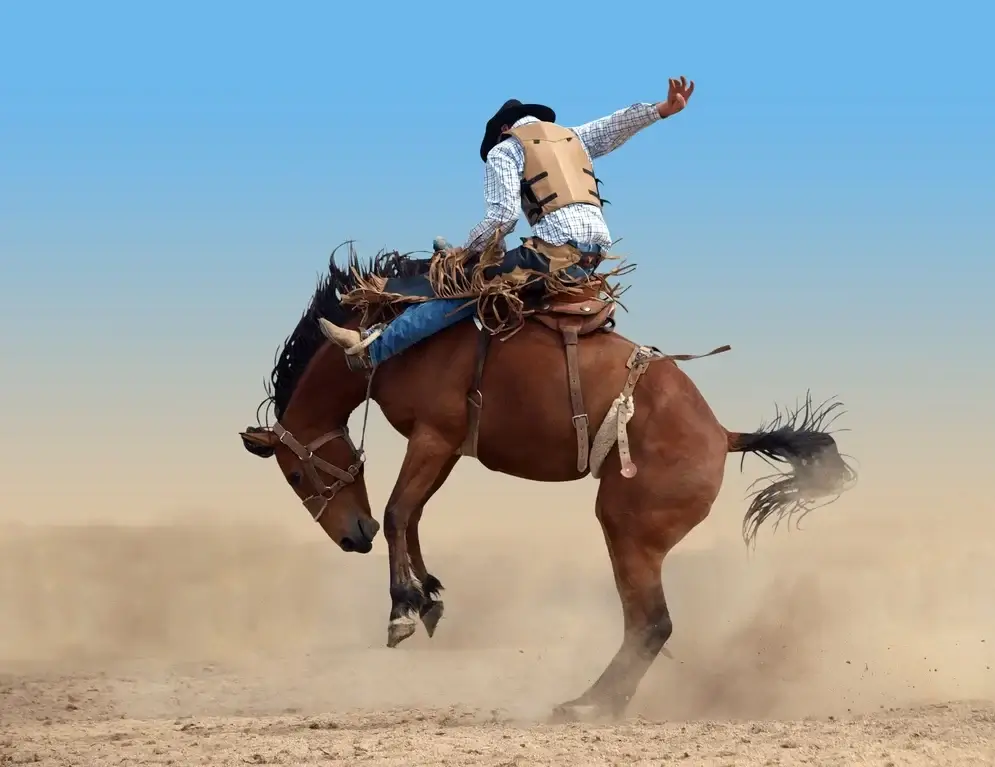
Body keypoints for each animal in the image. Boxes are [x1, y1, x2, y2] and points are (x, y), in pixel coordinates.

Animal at [241, 243, 856, 724]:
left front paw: (401, 611)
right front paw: (428, 597)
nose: (353, 537)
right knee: (646, 627)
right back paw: (594, 702)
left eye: (294, 474)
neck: (391, 341)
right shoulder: (446, 446)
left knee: (651, 625)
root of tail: (723, 434)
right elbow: (411, 514)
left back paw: (590, 705)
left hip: (626, 528)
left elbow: (396, 511)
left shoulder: (433, 436)